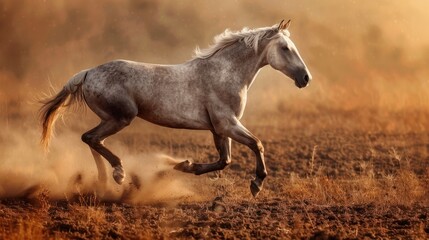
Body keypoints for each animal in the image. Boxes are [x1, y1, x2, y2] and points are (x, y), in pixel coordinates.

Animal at [40, 20, 310, 197]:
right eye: (285, 48)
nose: (305, 78)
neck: (225, 74)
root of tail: (86, 73)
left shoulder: (219, 129)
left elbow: (225, 160)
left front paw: (184, 166)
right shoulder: (228, 124)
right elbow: (257, 144)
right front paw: (257, 184)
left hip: (111, 119)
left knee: (93, 140)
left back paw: (104, 181)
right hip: (121, 118)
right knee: (91, 138)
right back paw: (119, 174)